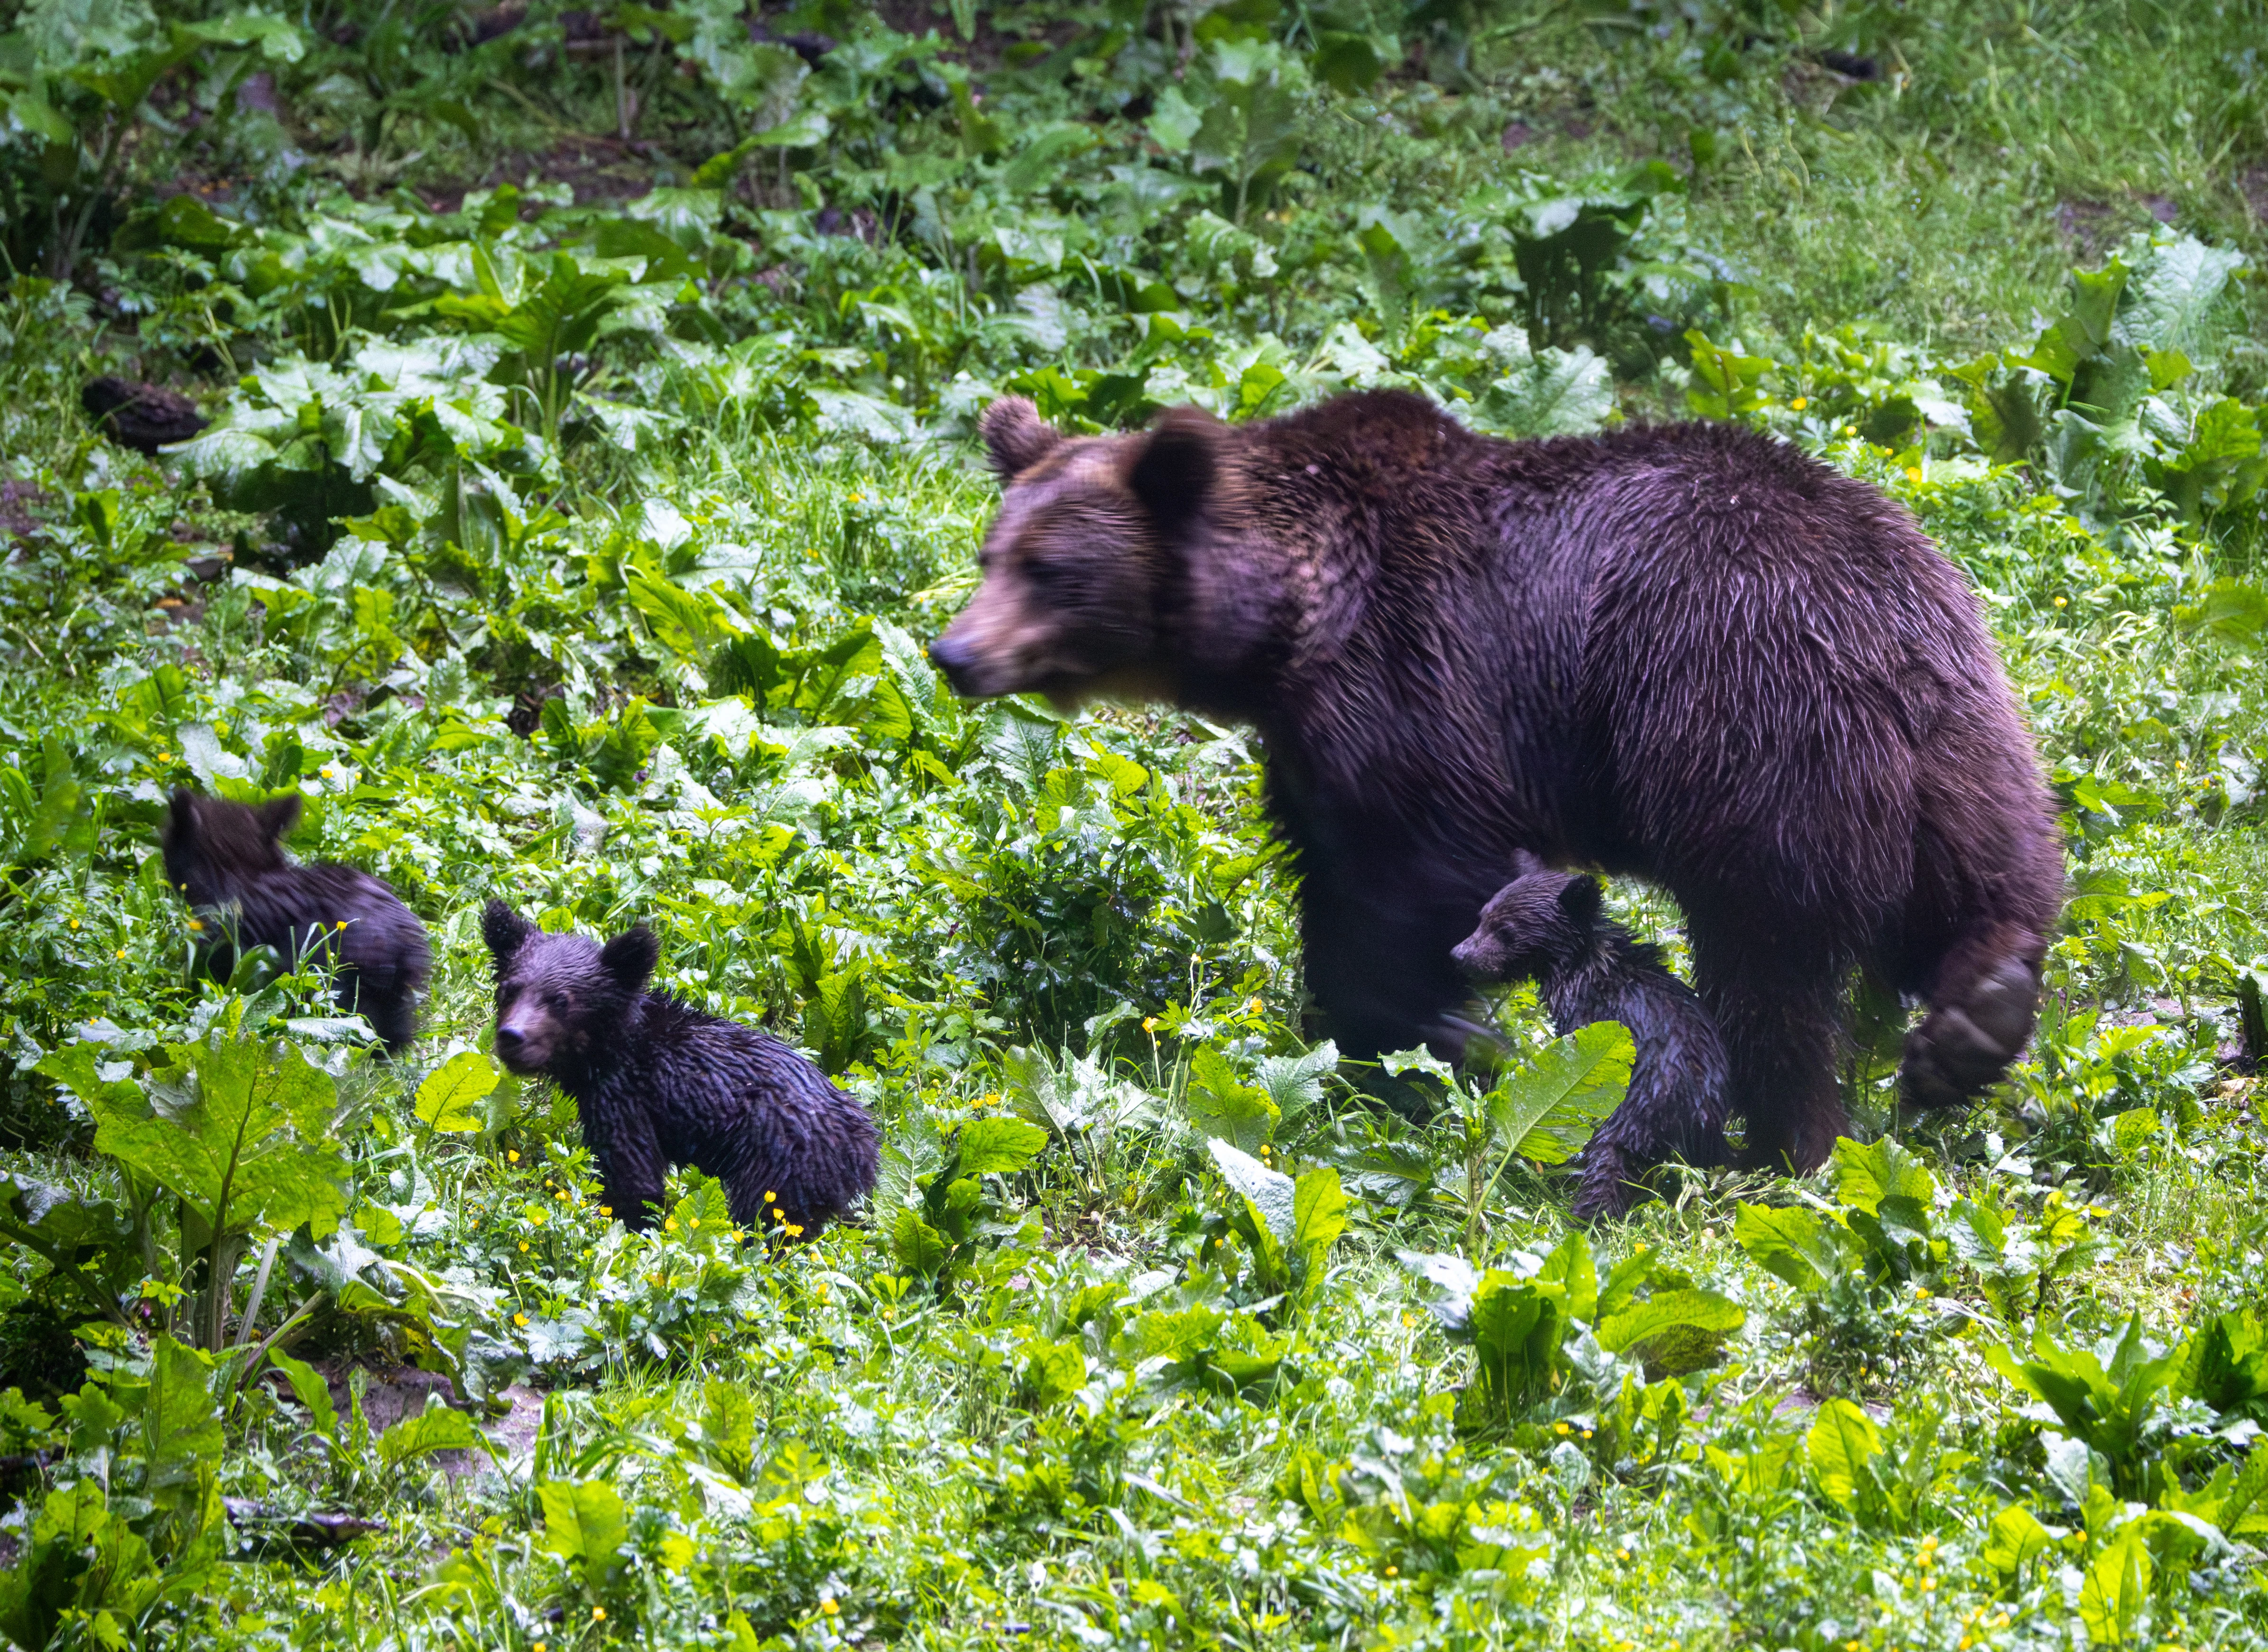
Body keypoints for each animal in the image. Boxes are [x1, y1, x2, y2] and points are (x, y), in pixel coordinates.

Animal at [480, 902, 879, 1238]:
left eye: (561, 1000)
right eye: (508, 990)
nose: (511, 1037)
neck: (609, 1053)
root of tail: (863, 1146)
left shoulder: (625, 1102)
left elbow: (633, 1181)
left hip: (779, 1165)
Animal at [928, 390, 2063, 1173]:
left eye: (1050, 570)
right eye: (992, 550)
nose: (954, 653)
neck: (1280, 629)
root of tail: (1887, 645)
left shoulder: (1414, 690)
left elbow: (1415, 879)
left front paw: (1438, 1036)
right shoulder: (1312, 745)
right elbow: (1334, 874)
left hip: (1745, 735)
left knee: (1767, 963)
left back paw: (1787, 1139)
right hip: (1966, 736)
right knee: (1991, 877)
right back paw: (1973, 1023)